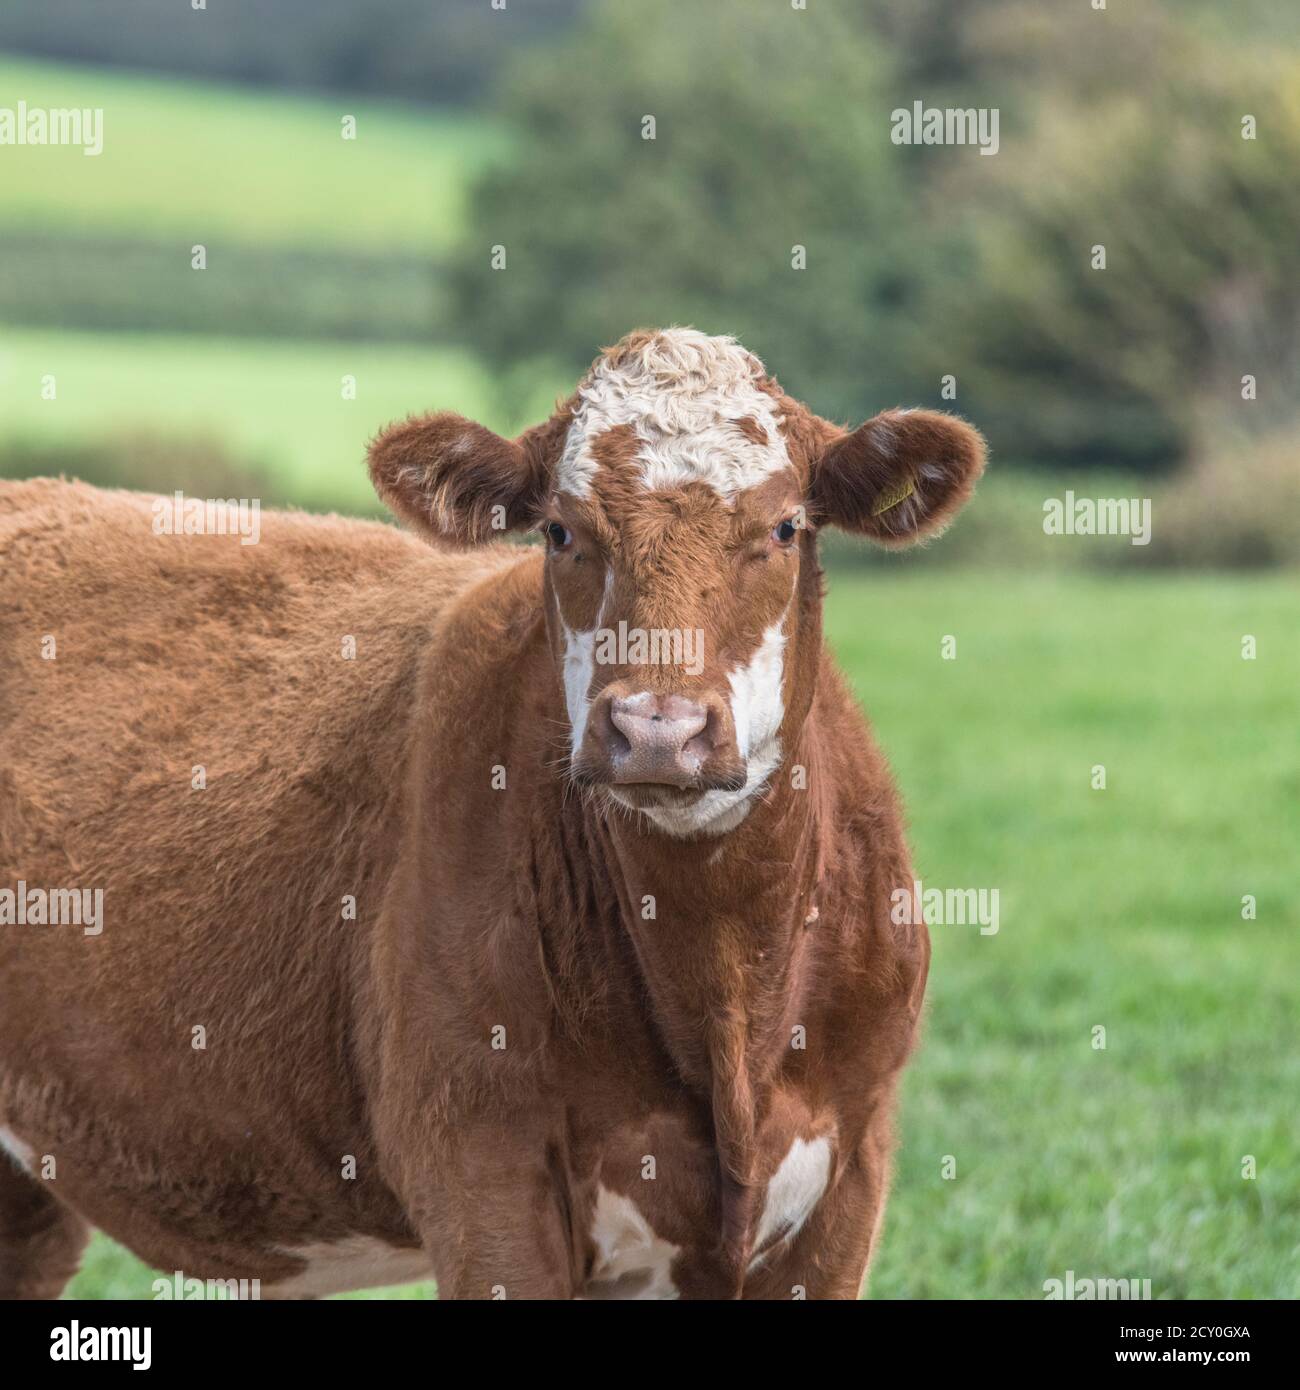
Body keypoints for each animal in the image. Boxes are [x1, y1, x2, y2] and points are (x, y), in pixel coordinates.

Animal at [0, 328, 984, 1299]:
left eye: (784, 527)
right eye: (560, 529)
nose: (657, 728)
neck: (728, 994)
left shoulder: (846, 1181)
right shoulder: (482, 1171)